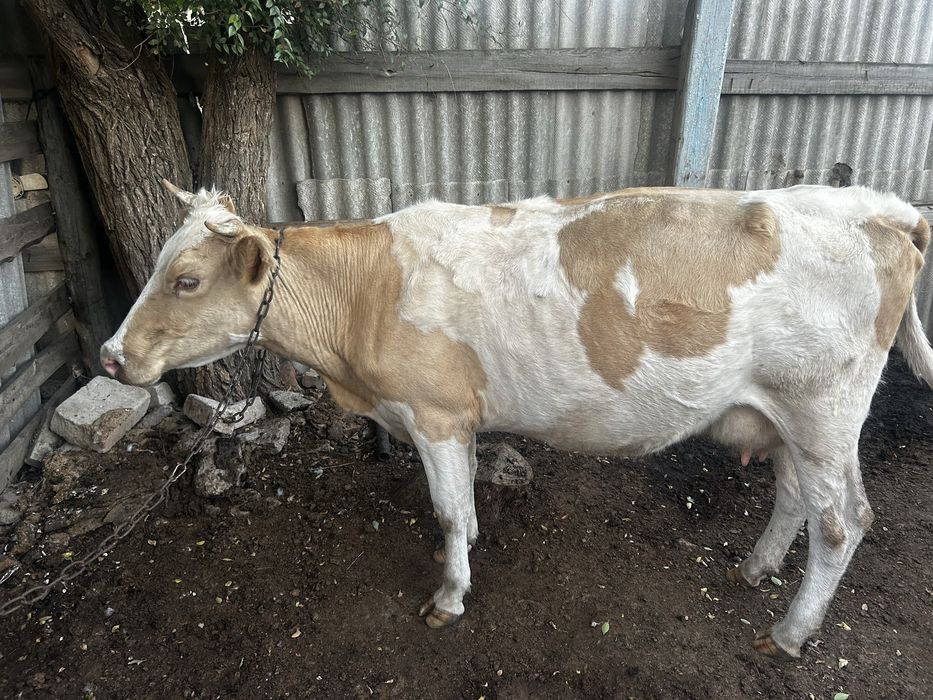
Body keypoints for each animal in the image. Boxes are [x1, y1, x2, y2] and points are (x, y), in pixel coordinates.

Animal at [100, 181, 933, 660]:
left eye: (186, 279)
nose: (109, 355)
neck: (363, 301)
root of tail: (875, 204)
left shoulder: (433, 412)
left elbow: (442, 506)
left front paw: (448, 596)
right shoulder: (457, 418)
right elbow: (465, 496)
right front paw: (470, 545)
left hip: (822, 409)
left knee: (842, 523)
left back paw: (789, 633)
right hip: (783, 413)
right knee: (794, 497)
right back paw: (755, 568)